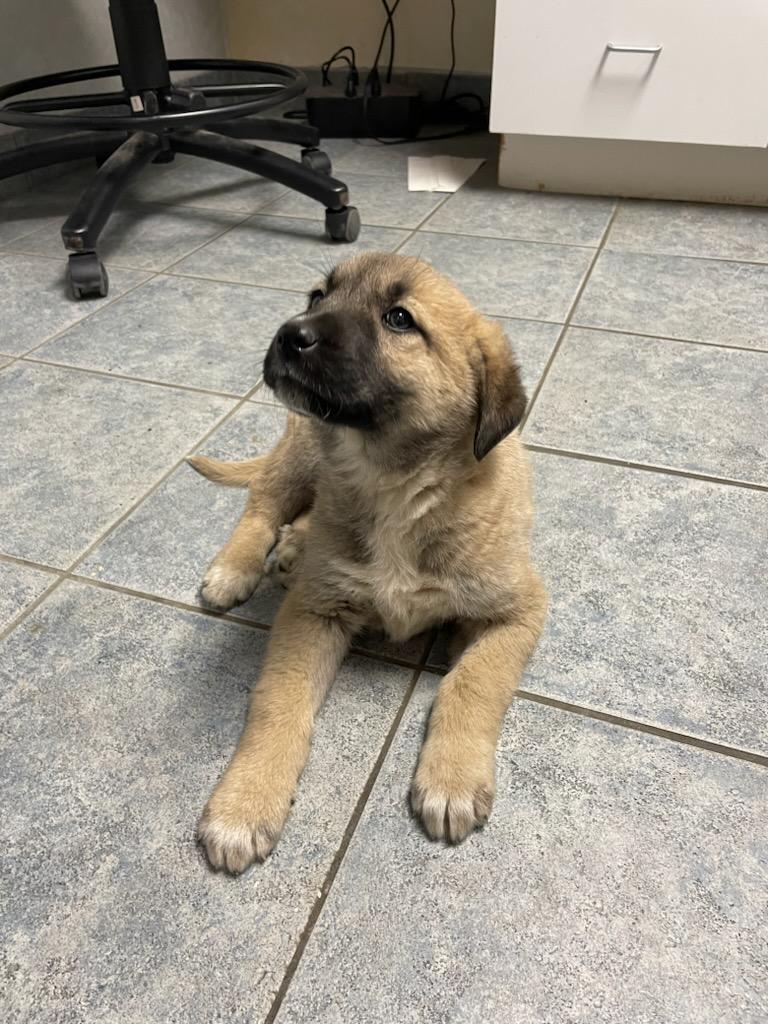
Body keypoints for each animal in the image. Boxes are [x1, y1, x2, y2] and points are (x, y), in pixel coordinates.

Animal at [190, 251, 548, 868]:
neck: (393, 486)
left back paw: (294, 548)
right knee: (262, 500)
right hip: (304, 449)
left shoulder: (517, 608)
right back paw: (237, 568)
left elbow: (473, 681)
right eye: (318, 296)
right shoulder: (312, 612)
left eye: (399, 318)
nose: (289, 334)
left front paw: (451, 779)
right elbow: (279, 701)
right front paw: (244, 804)